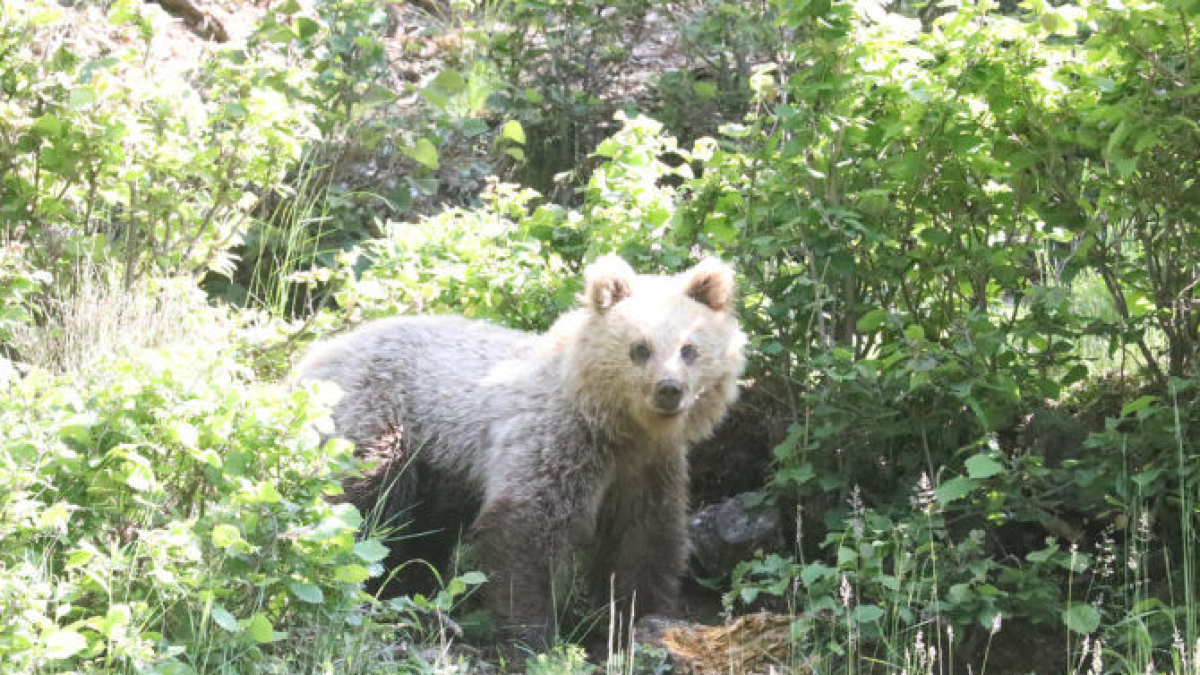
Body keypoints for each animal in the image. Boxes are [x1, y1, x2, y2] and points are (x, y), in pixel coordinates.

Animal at [294, 254, 746, 646]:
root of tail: (311, 359)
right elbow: (527, 529)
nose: (669, 389)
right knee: (368, 512)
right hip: (378, 419)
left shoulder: (648, 469)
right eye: (640, 348)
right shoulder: (557, 442)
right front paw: (533, 637)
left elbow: (644, 541)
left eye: (689, 349)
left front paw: (638, 620)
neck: (618, 428)